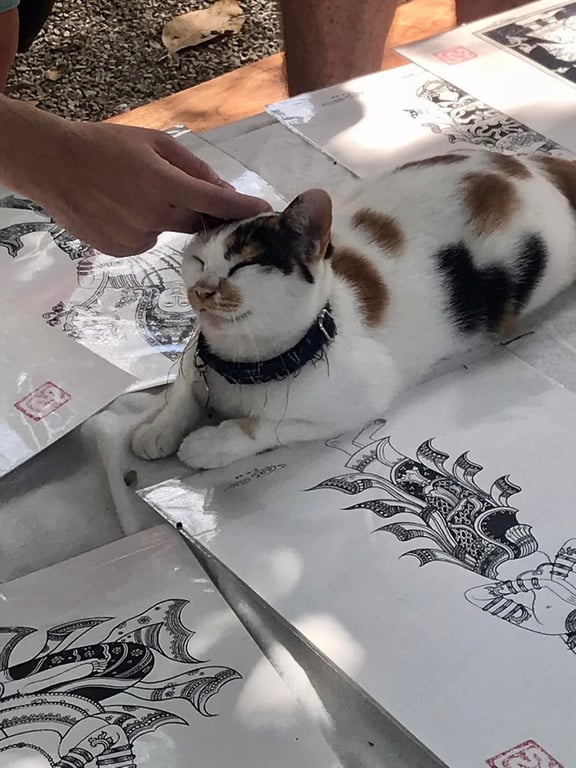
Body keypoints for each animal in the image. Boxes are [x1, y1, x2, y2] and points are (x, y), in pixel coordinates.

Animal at [132, 150, 576, 470]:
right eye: (198, 261)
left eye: (243, 265)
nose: (201, 291)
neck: (242, 363)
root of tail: (534, 167)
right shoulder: (197, 351)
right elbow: (184, 389)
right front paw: (157, 428)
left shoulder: (357, 402)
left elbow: (266, 426)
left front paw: (208, 444)